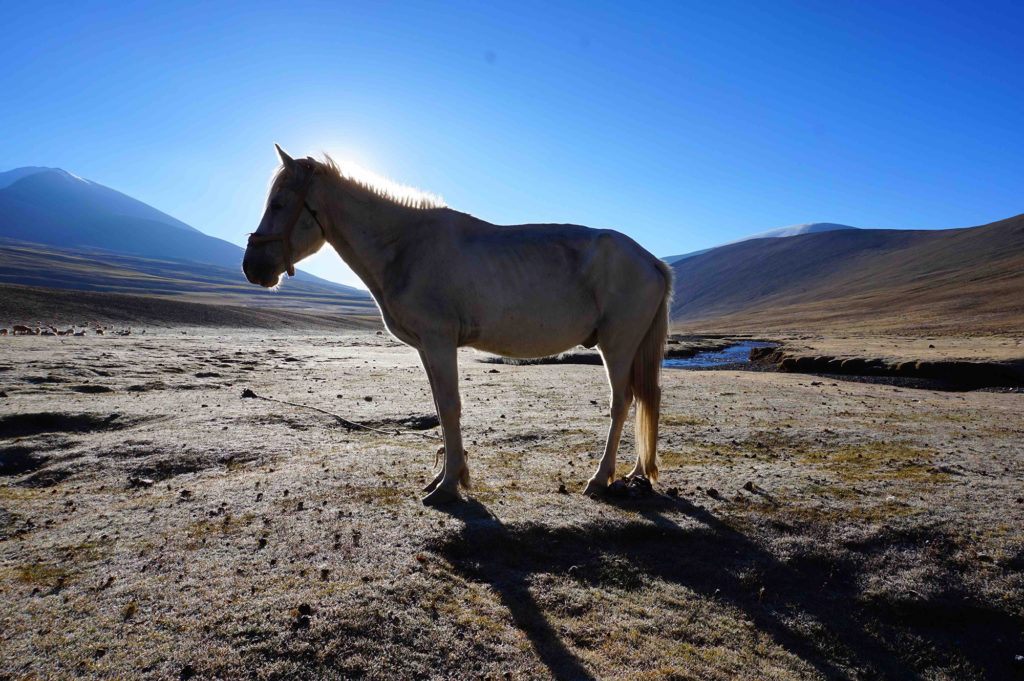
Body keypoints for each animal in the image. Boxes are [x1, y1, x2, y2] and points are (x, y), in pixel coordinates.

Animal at [242, 144, 672, 506]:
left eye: (279, 203)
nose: (252, 268)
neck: (405, 247)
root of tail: (650, 260)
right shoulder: (427, 348)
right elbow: (439, 405)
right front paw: (445, 476)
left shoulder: (439, 342)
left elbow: (449, 408)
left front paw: (448, 486)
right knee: (643, 399)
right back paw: (635, 473)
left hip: (617, 346)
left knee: (622, 402)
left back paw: (600, 478)